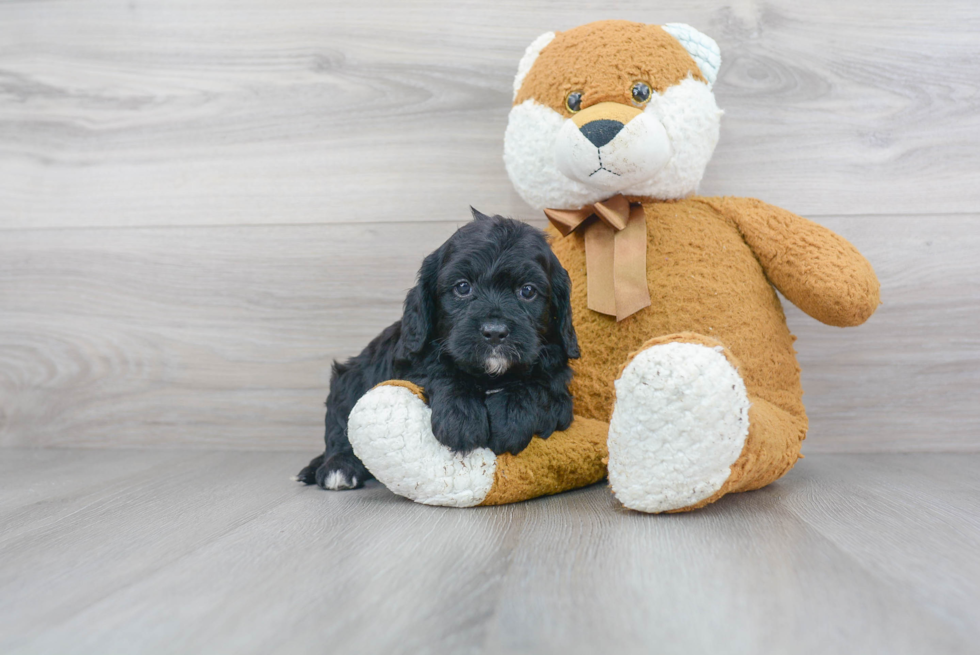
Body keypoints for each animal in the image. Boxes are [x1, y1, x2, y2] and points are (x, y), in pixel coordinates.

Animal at [294, 211, 580, 492]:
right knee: (339, 427)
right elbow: (439, 371)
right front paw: (461, 420)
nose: (495, 332)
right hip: (349, 378)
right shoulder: (413, 358)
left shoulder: (559, 386)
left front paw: (511, 418)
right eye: (463, 287)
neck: (489, 375)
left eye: (528, 291)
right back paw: (338, 468)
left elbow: (540, 386)